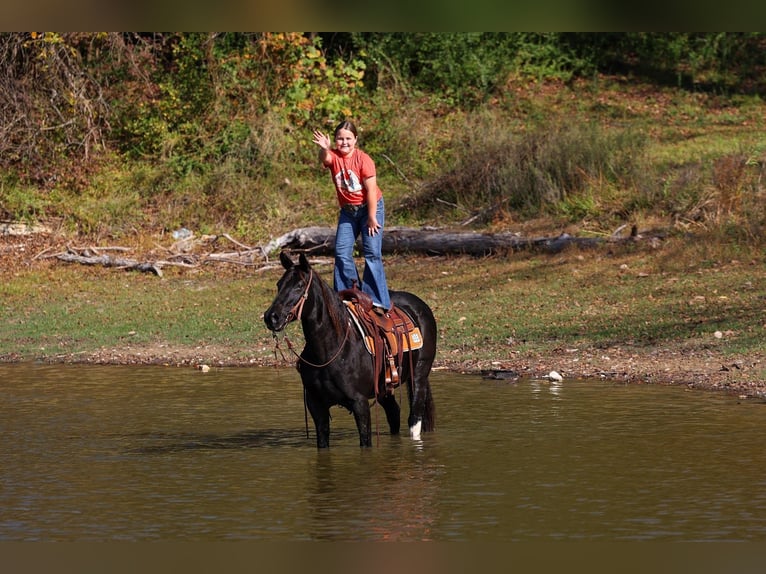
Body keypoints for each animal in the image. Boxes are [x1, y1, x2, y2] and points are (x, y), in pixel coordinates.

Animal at [263, 251, 437, 448]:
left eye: (299, 286)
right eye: (279, 284)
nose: (271, 317)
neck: (330, 350)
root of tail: (419, 306)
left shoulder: (359, 403)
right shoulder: (316, 405)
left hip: (419, 375)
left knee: (415, 418)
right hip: (385, 388)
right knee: (394, 413)